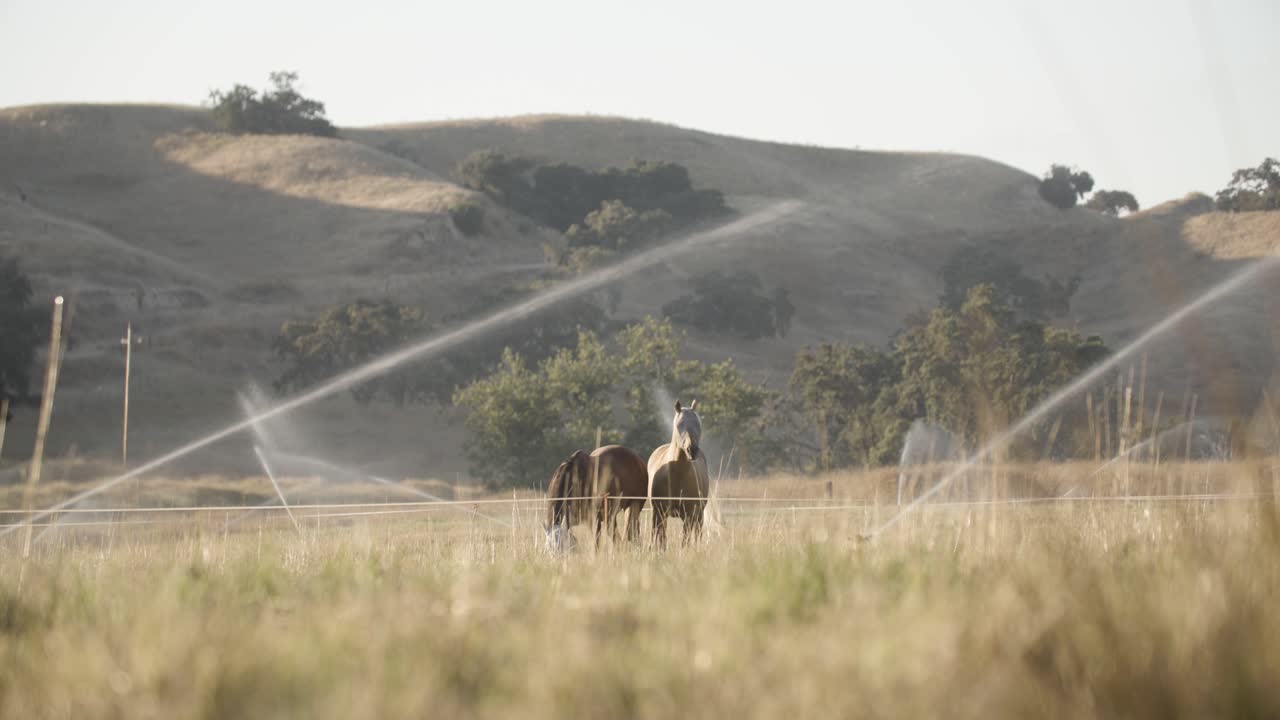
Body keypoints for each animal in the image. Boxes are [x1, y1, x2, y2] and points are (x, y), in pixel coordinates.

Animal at [647, 399, 711, 546]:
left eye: (698, 425)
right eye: (679, 424)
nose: (692, 450)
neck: (677, 475)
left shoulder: (689, 514)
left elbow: (685, 540)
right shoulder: (658, 512)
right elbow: (659, 538)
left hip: (698, 514)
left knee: (697, 533)